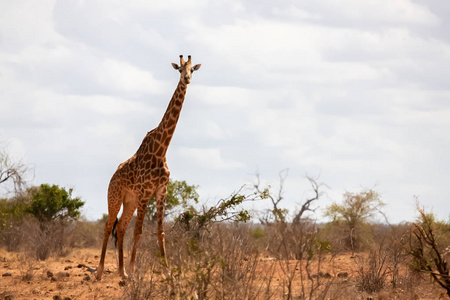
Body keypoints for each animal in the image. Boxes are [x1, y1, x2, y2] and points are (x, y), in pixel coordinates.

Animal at [96, 54, 202, 278]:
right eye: (179, 69)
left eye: (192, 70)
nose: (187, 79)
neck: (161, 149)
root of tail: (112, 177)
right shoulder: (145, 192)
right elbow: (139, 231)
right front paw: (134, 270)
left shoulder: (161, 191)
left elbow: (160, 232)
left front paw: (167, 271)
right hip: (115, 196)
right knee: (108, 226)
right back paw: (100, 272)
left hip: (130, 201)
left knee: (120, 227)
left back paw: (122, 273)